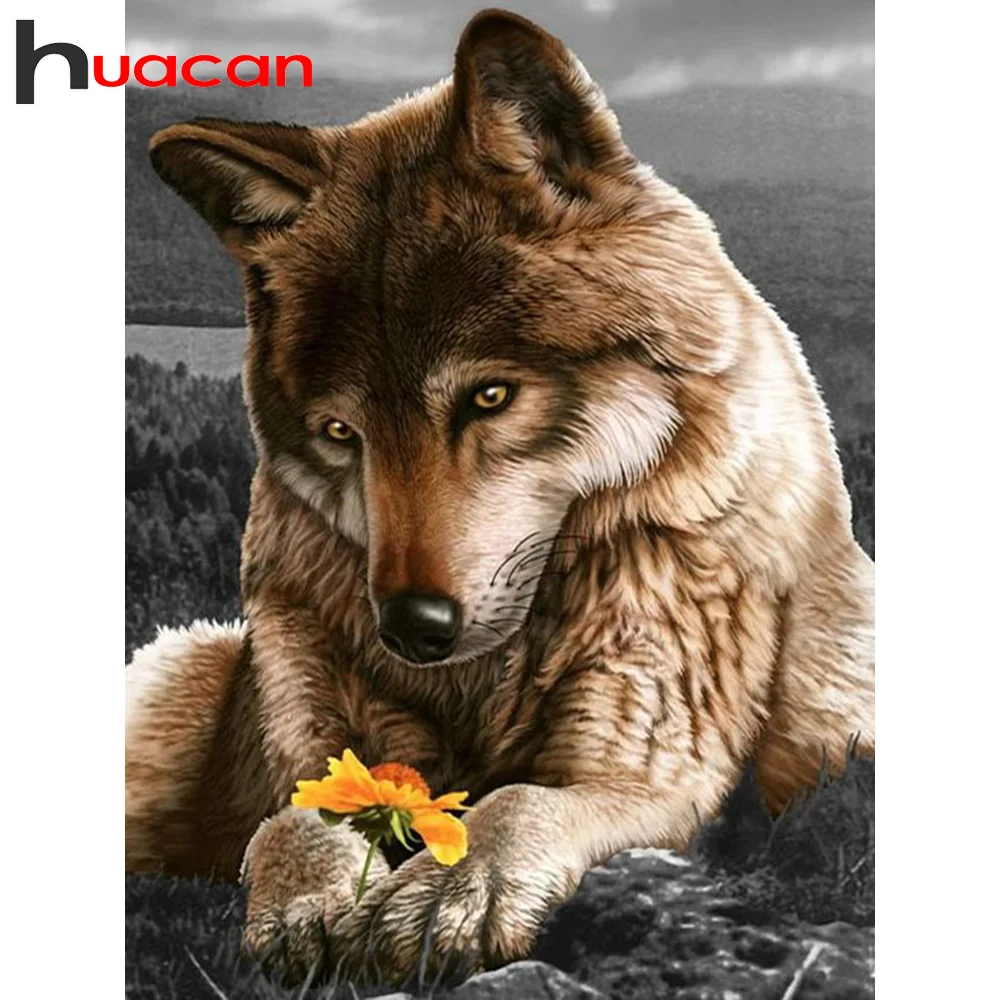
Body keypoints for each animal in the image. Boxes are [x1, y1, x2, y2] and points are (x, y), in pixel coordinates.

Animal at [125, 7, 874, 985]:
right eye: (342, 433)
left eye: (489, 397)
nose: (411, 628)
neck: (484, 681)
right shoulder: (314, 737)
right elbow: (297, 815)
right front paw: (309, 902)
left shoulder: (649, 769)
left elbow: (517, 800)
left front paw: (453, 890)